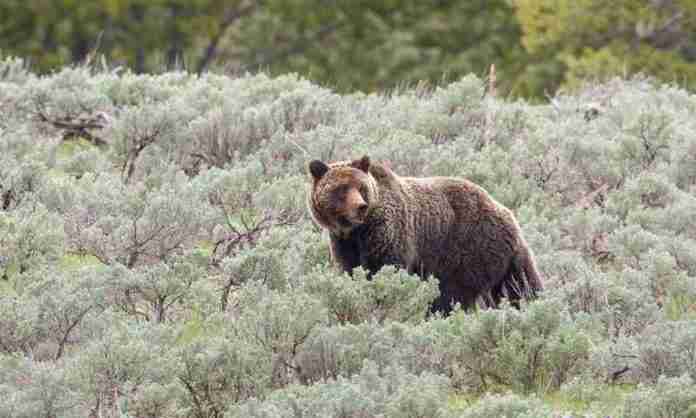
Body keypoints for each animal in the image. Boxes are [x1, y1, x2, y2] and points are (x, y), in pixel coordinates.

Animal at [307, 155, 543, 314]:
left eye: (361, 187)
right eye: (341, 189)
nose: (360, 206)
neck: (357, 231)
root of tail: (507, 214)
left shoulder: (389, 234)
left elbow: (386, 268)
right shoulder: (344, 244)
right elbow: (351, 270)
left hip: (469, 249)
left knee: (453, 293)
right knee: (518, 285)